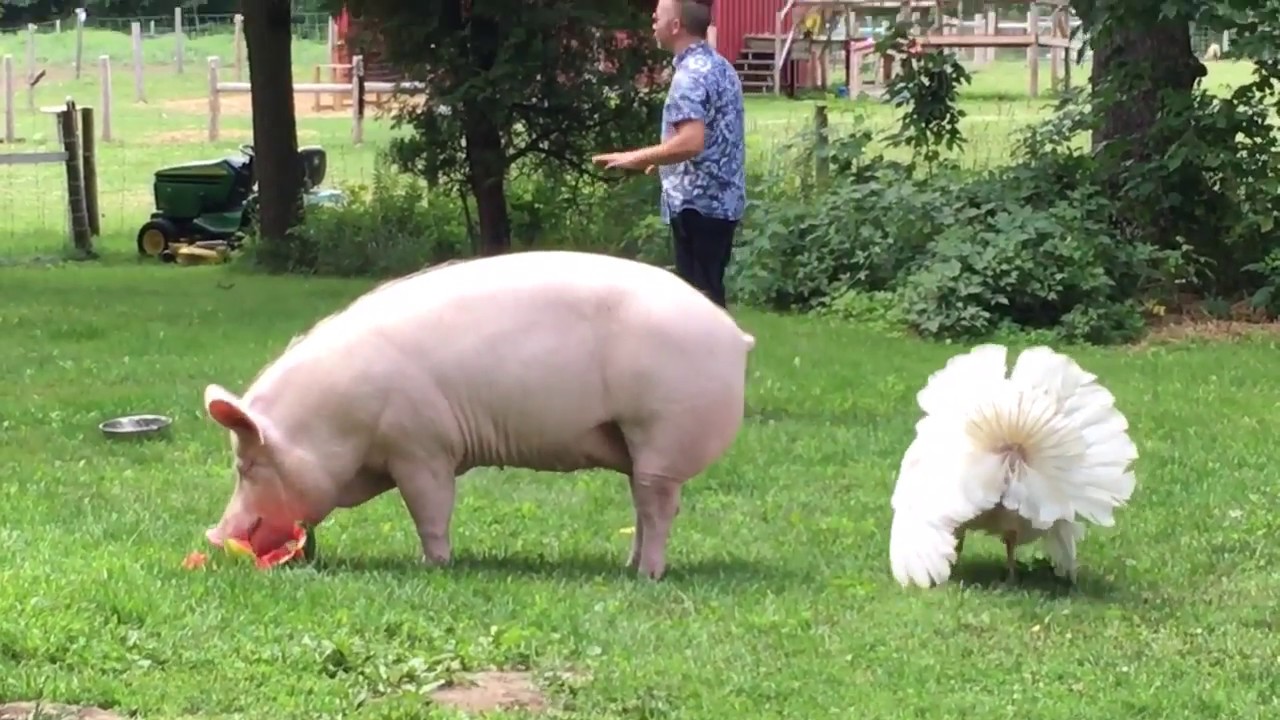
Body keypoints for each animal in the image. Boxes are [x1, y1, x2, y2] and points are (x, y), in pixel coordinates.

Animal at [202, 250, 756, 580]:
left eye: (246, 465)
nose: (212, 535)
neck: (340, 423)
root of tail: (735, 335)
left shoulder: (422, 447)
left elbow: (431, 511)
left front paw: (434, 566)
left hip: (662, 433)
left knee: (658, 507)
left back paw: (646, 576)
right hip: (635, 445)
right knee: (643, 506)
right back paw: (628, 566)